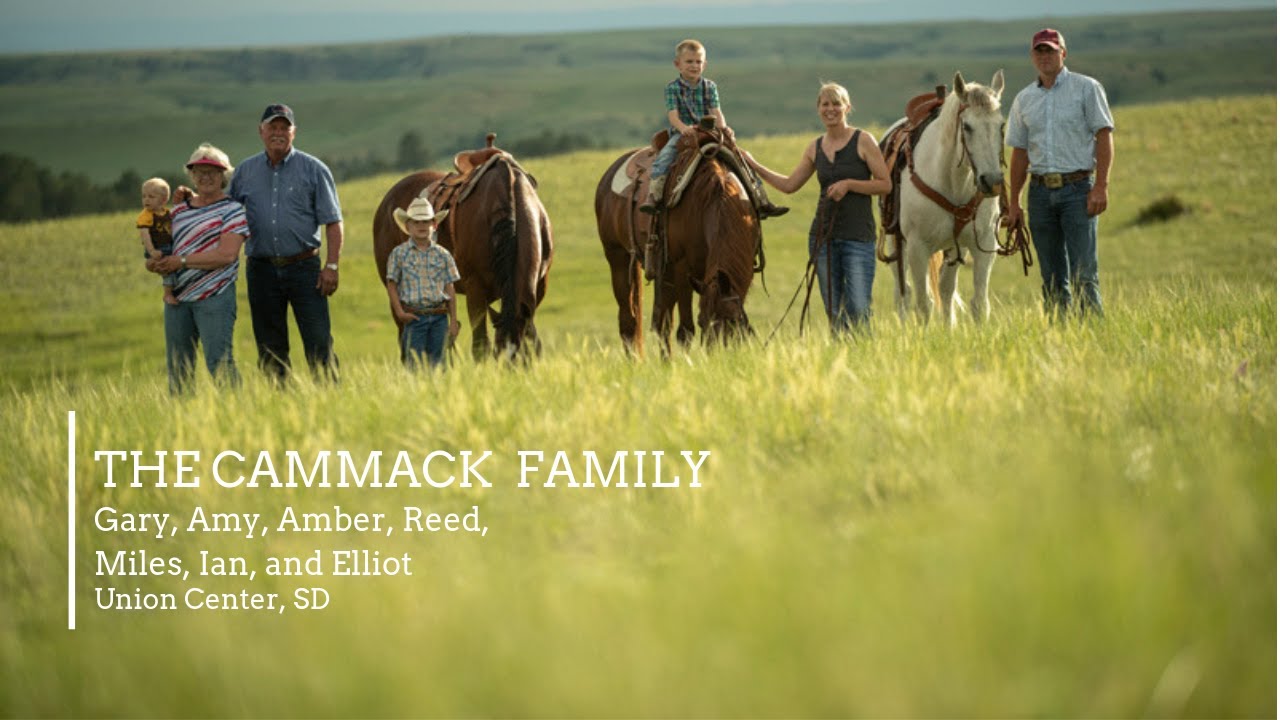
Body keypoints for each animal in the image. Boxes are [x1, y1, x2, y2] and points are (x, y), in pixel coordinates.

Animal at [591, 130, 757, 353]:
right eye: (703, 321)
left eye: (732, 321)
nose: (716, 356)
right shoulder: (682, 268)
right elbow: (685, 330)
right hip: (618, 258)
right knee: (629, 321)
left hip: (663, 271)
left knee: (662, 324)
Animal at [885, 69, 1003, 322]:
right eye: (967, 126)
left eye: (1001, 125)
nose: (991, 181)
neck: (953, 183)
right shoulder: (917, 248)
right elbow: (923, 305)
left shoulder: (984, 244)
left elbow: (979, 304)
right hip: (896, 243)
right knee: (903, 293)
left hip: (954, 249)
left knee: (946, 290)